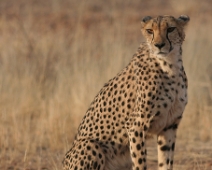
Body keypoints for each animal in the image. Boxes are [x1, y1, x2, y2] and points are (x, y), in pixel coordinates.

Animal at [63, 14, 189, 170]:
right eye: (150, 30)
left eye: (171, 29)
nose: (159, 45)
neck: (170, 65)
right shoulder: (136, 125)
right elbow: (140, 163)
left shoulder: (169, 125)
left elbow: (165, 163)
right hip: (91, 144)